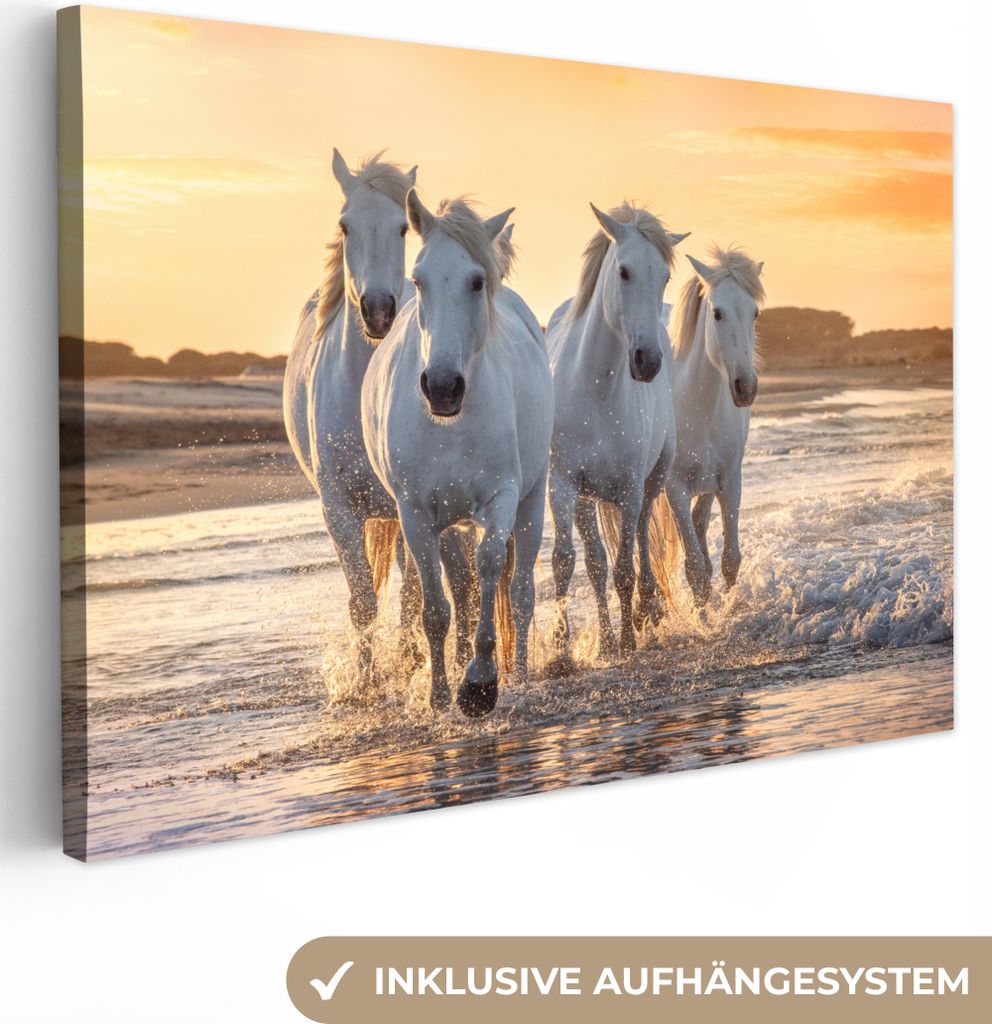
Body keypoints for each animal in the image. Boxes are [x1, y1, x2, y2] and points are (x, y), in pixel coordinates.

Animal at [282, 149, 476, 678]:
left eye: (402, 228)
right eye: (345, 225)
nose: (378, 311)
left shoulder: (412, 507)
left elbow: (411, 595)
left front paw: (408, 664)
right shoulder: (338, 511)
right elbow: (363, 602)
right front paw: (366, 682)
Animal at [362, 194, 553, 717]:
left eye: (476, 280)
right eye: (418, 279)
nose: (442, 387)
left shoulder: (502, 497)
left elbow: (491, 568)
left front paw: (481, 682)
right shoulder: (415, 514)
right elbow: (435, 608)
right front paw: (441, 693)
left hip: (532, 500)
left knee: (520, 592)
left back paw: (521, 675)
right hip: (449, 523)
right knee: (461, 594)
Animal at [545, 202, 689, 666]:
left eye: (664, 276)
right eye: (624, 271)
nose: (648, 361)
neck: (596, 387)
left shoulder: (628, 488)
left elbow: (625, 565)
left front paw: (627, 639)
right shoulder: (563, 485)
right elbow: (568, 562)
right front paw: (561, 651)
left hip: (652, 480)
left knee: (641, 537)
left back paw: (646, 610)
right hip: (587, 499)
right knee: (595, 562)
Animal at [650, 246, 765, 606]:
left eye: (754, 313)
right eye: (717, 313)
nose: (746, 388)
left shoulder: (730, 480)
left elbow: (730, 559)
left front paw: (726, 609)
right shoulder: (675, 488)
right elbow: (696, 569)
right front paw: (704, 616)